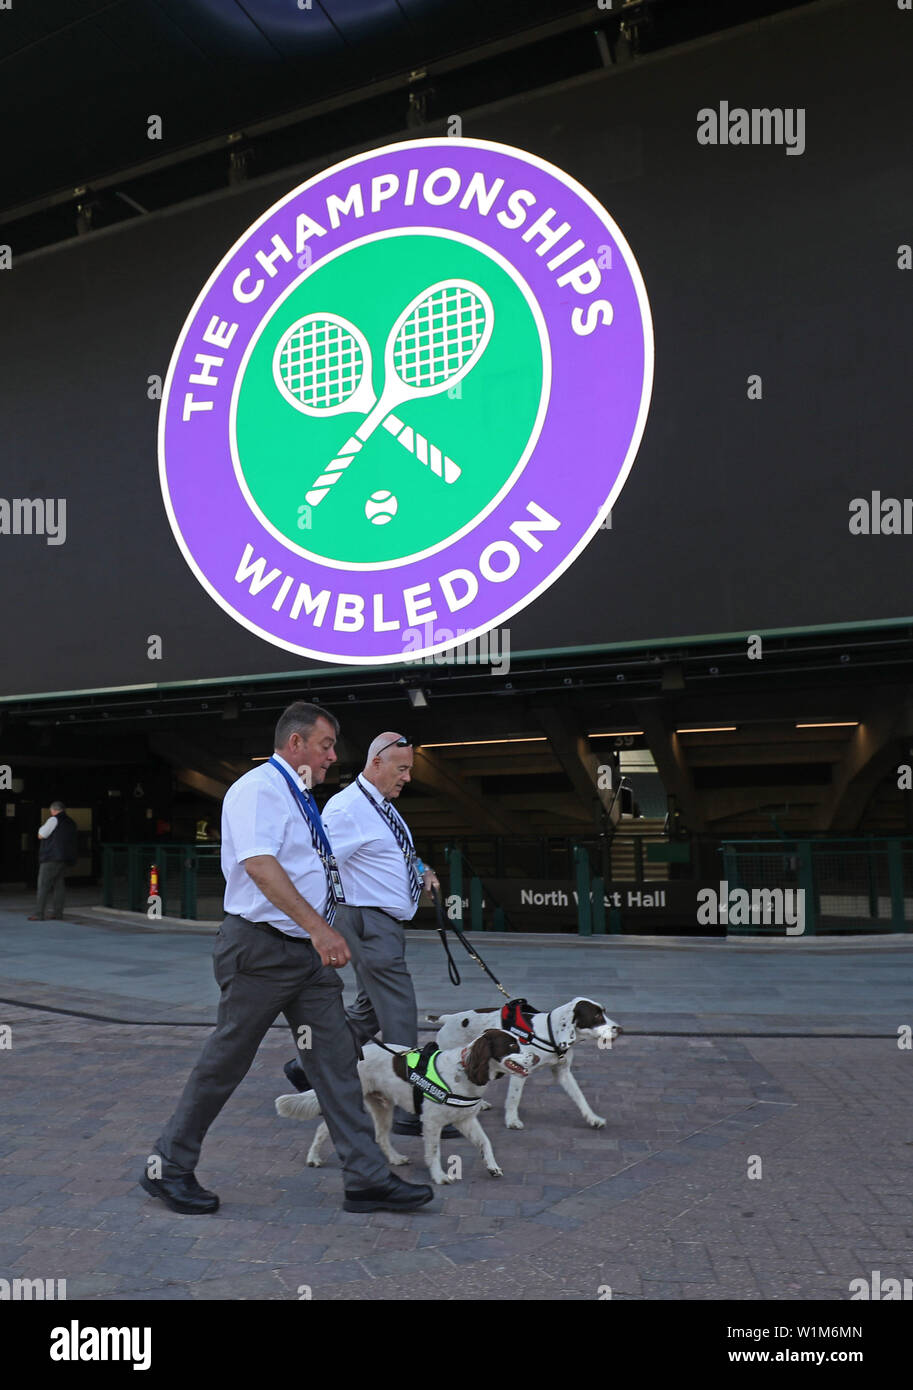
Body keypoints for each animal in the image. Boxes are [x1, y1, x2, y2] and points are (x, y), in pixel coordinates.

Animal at [273, 1034, 536, 1184]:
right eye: (512, 1044)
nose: (534, 1058)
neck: (463, 1071)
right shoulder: (431, 1123)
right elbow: (434, 1152)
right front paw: (439, 1176)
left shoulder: (465, 1119)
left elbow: (485, 1142)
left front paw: (492, 1167)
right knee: (322, 1128)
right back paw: (313, 1158)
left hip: (383, 1107)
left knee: (380, 1136)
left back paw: (395, 1158)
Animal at [428, 995, 619, 1123]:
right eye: (596, 1016)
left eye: (604, 1012)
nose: (620, 1028)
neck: (549, 1034)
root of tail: (448, 1018)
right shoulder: (519, 1071)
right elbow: (514, 1097)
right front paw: (512, 1120)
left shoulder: (563, 1073)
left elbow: (580, 1097)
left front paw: (592, 1118)